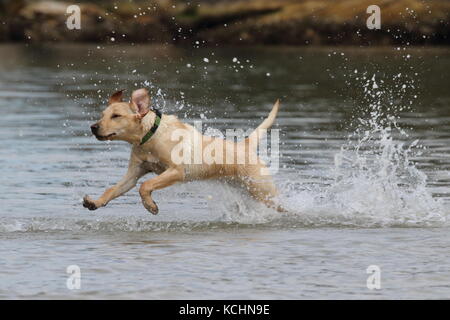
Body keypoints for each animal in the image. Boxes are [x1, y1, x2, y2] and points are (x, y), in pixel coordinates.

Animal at [83, 87, 282, 214]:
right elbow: (113, 189)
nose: (93, 127)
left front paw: (150, 206)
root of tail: (244, 145)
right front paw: (95, 202)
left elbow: (146, 185)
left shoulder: (177, 171)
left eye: (116, 116)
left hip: (262, 191)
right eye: (102, 115)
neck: (149, 136)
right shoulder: (133, 174)